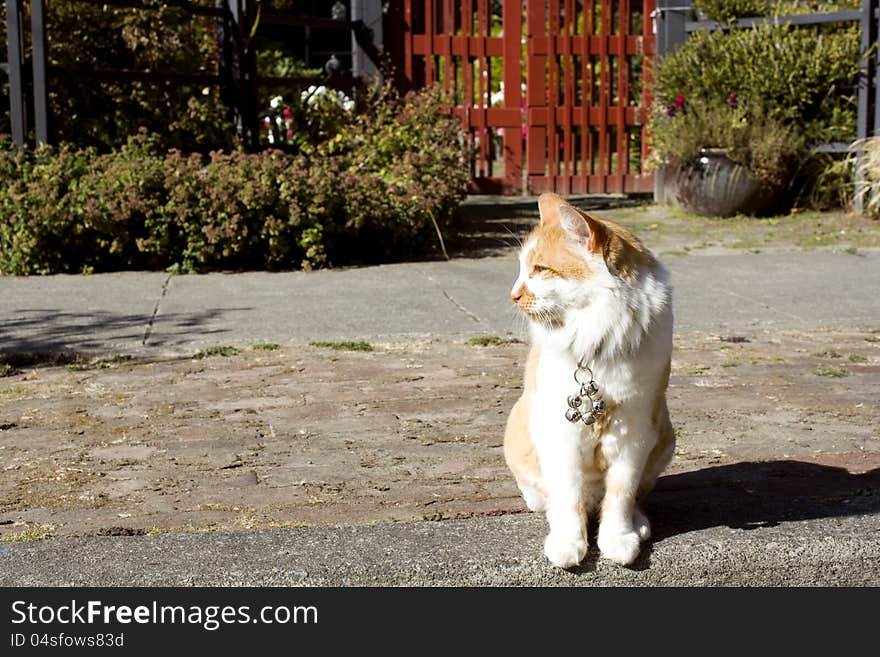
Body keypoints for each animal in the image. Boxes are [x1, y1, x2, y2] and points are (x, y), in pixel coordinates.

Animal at [502, 192, 672, 568]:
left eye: (540, 269)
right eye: (521, 269)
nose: (513, 295)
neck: (597, 339)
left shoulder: (635, 430)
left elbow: (621, 496)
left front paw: (619, 538)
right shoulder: (560, 437)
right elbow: (568, 498)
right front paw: (568, 543)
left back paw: (639, 524)